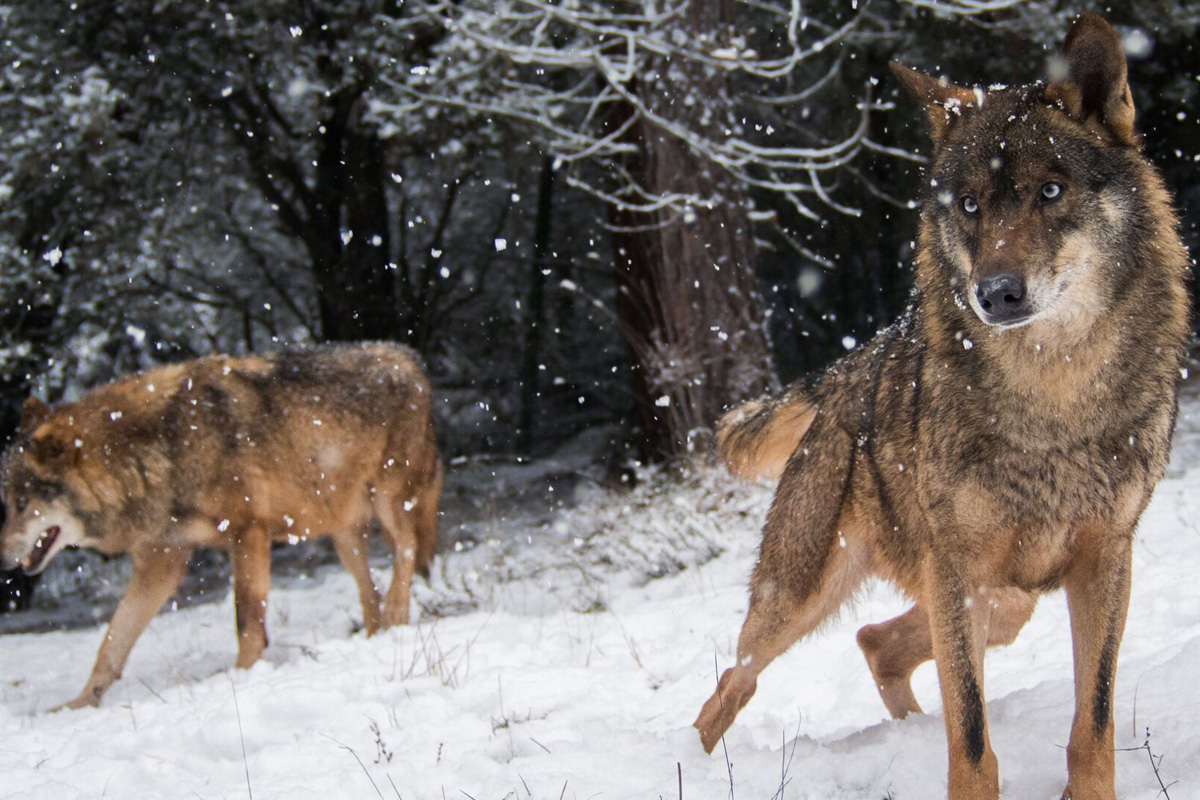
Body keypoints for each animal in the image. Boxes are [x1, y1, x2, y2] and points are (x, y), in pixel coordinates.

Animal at [0, 340, 441, 710]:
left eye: (23, 504)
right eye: (7, 504)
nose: (1, 559)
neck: (161, 450)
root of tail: (410, 360)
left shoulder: (248, 532)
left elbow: (246, 620)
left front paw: (243, 676)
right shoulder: (160, 563)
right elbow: (111, 643)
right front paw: (76, 705)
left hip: (389, 502)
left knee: (406, 550)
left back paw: (396, 617)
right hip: (343, 537)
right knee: (370, 590)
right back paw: (376, 634)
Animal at [696, 14, 1190, 800]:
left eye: (1051, 191)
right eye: (969, 205)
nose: (997, 294)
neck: (1052, 395)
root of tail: (848, 369)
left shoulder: (1108, 558)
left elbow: (1094, 721)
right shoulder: (957, 570)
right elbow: (974, 735)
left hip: (1005, 600)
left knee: (875, 642)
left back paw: (907, 733)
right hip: (808, 598)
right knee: (730, 686)